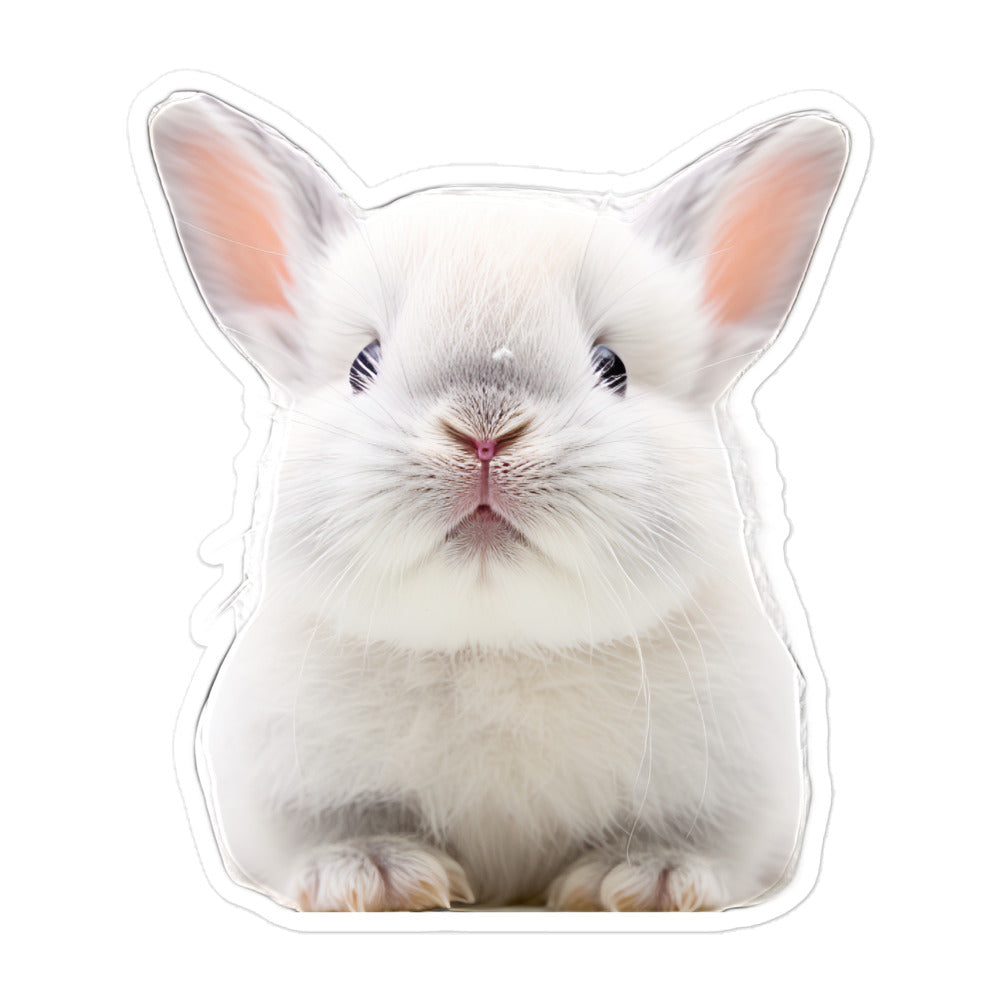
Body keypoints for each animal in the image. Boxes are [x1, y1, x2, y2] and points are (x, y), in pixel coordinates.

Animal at [148, 91, 849, 912]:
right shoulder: (281, 789)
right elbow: (329, 833)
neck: (496, 643)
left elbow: (701, 845)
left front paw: (642, 881)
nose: (484, 434)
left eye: (612, 367)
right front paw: (375, 877)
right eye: (363, 363)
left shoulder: (740, 792)